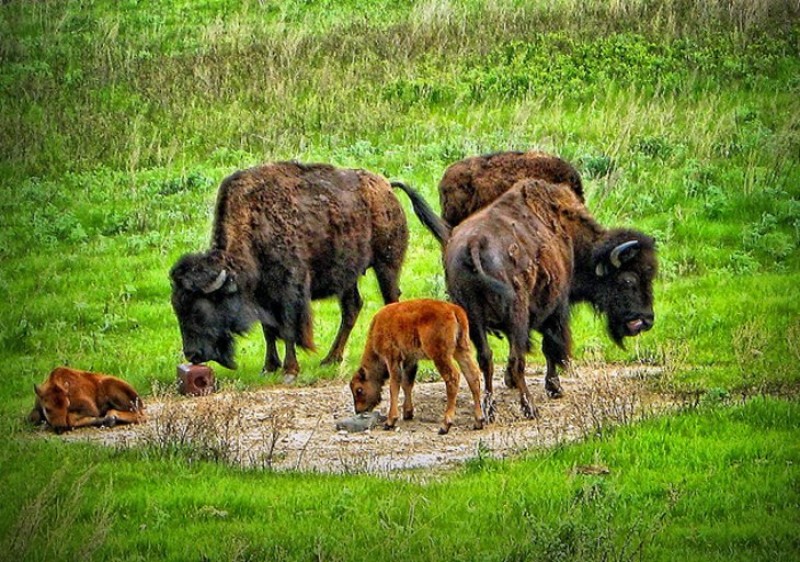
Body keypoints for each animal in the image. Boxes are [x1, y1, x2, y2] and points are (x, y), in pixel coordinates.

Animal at [169, 161, 406, 380]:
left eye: (199, 310)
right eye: (177, 309)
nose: (192, 355)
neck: (253, 222)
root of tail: (386, 186)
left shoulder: (290, 290)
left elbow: (288, 328)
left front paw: (290, 370)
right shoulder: (263, 297)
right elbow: (269, 331)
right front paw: (268, 367)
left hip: (386, 265)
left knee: (390, 300)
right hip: (348, 277)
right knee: (352, 308)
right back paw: (330, 359)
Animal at [348, 298, 484, 434]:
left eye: (359, 390)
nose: (359, 411)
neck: (377, 326)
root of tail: (454, 310)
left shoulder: (392, 357)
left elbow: (394, 385)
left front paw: (390, 421)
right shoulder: (410, 359)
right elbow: (407, 383)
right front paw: (408, 413)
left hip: (441, 356)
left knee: (453, 377)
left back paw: (445, 425)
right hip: (461, 349)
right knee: (473, 375)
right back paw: (479, 421)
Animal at [394, 177, 656, 418]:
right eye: (628, 280)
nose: (647, 319)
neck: (569, 234)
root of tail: (474, 244)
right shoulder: (557, 308)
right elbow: (551, 346)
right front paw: (555, 388)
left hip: (472, 316)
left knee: (486, 358)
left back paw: (489, 409)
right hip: (516, 314)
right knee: (516, 359)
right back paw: (529, 408)